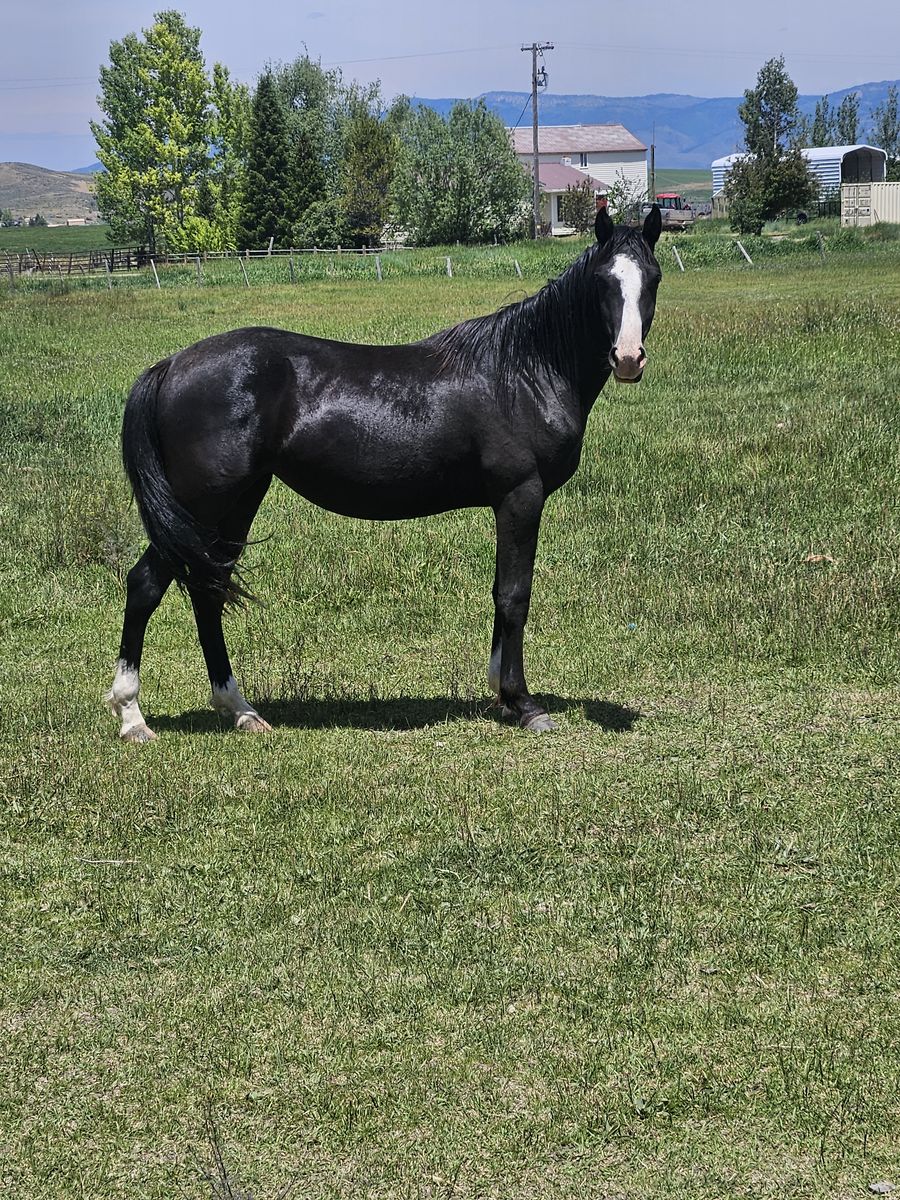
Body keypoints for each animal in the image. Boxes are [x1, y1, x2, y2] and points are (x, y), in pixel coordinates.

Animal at [107, 205, 663, 742]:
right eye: (603, 281)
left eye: (652, 278)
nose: (628, 358)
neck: (524, 372)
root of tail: (170, 365)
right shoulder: (521, 496)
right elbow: (514, 595)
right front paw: (523, 704)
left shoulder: (510, 502)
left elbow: (499, 591)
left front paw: (501, 697)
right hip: (201, 504)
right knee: (146, 585)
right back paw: (133, 718)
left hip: (237, 502)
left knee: (208, 589)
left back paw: (241, 711)